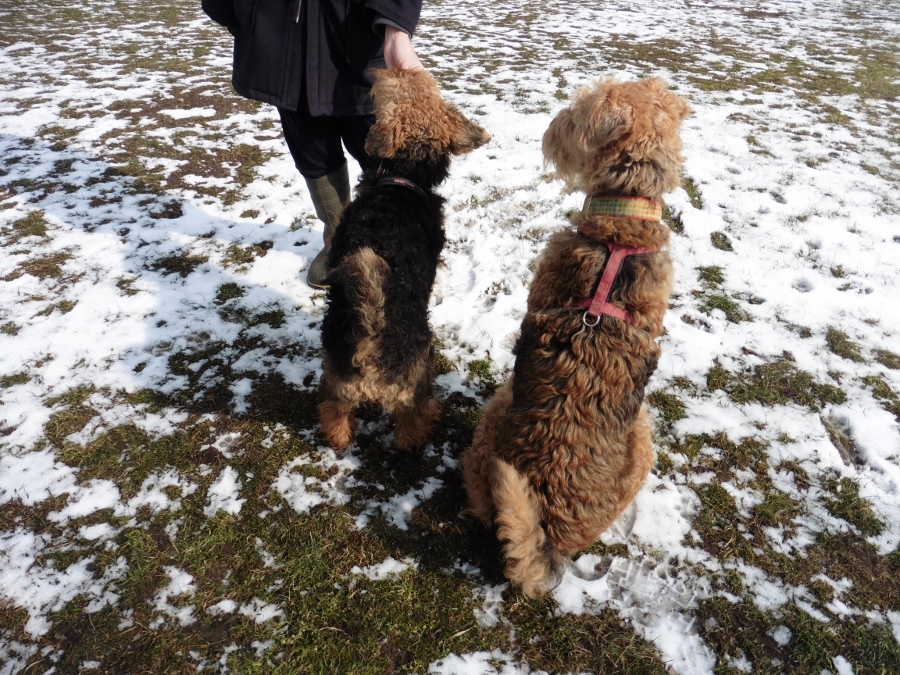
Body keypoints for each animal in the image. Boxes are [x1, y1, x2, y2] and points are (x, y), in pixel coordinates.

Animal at [319, 69, 490, 451]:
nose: (382, 69)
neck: (403, 178)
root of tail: (371, 342)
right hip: (421, 366)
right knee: (411, 422)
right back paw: (428, 423)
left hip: (337, 373)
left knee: (336, 413)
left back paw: (338, 438)